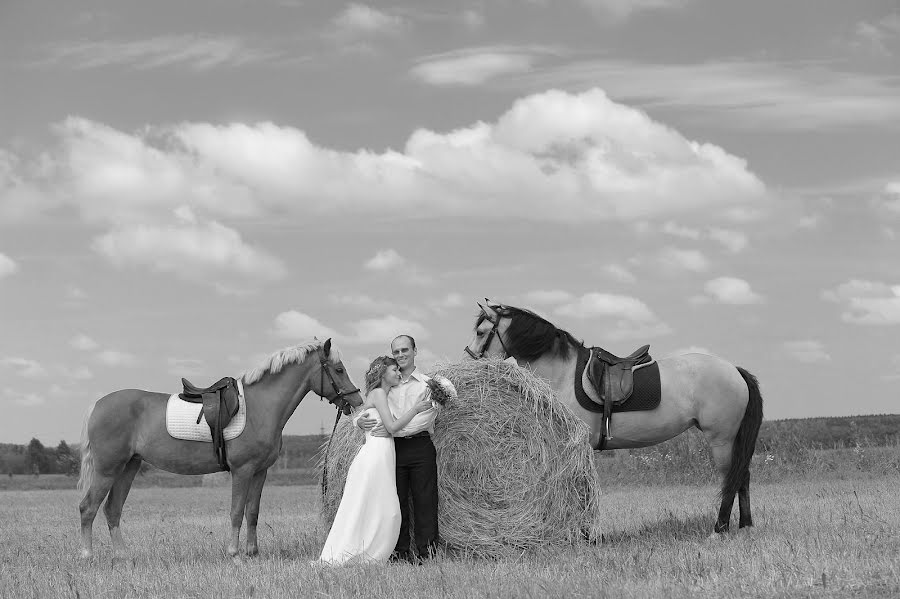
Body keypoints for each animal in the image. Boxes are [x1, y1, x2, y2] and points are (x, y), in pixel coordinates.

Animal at [74, 340, 362, 560]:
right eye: (339, 369)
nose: (356, 400)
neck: (260, 406)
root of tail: (97, 404)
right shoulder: (242, 471)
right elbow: (236, 512)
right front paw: (234, 554)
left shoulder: (260, 473)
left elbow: (252, 512)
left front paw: (253, 553)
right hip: (107, 469)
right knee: (88, 507)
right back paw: (87, 556)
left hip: (128, 467)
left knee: (112, 509)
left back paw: (123, 555)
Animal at [464, 300, 768, 536]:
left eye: (481, 332)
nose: (467, 361)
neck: (563, 373)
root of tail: (734, 370)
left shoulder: (578, 446)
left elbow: (581, 487)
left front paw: (585, 534)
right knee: (742, 476)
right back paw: (745, 525)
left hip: (721, 439)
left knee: (731, 477)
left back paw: (719, 528)